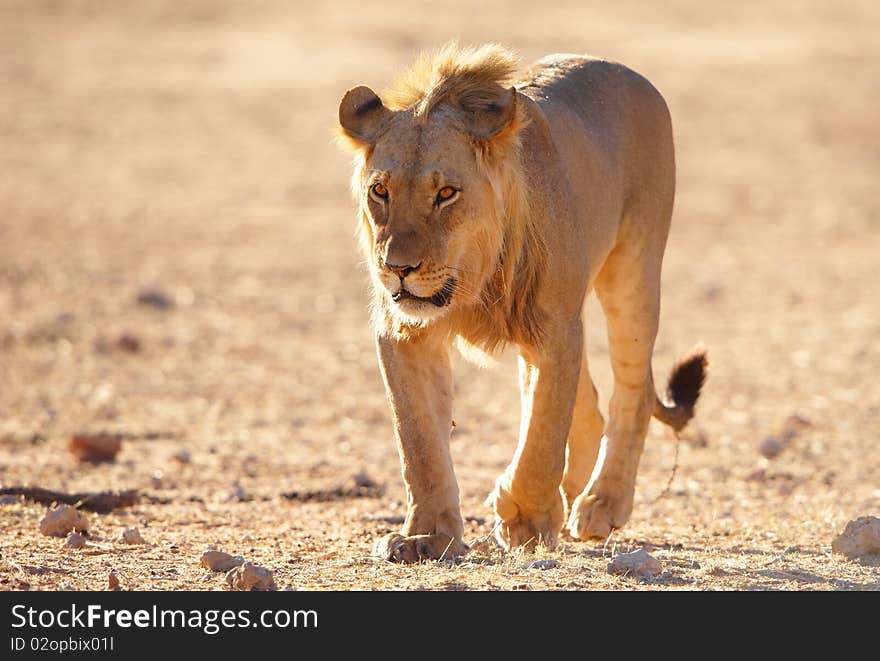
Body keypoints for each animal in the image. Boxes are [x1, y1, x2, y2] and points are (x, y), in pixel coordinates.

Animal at [336, 42, 708, 564]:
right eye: (380, 191)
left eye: (446, 193)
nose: (397, 267)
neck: (472, 280)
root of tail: (624, 71)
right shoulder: (404, 332)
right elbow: (419, 442)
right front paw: (425, 536)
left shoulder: (554, 329)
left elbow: (542, 436)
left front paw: (526, 520)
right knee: (589, 404)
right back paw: (572, 494)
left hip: (634, 273)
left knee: (630, 393)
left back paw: (601, 503)